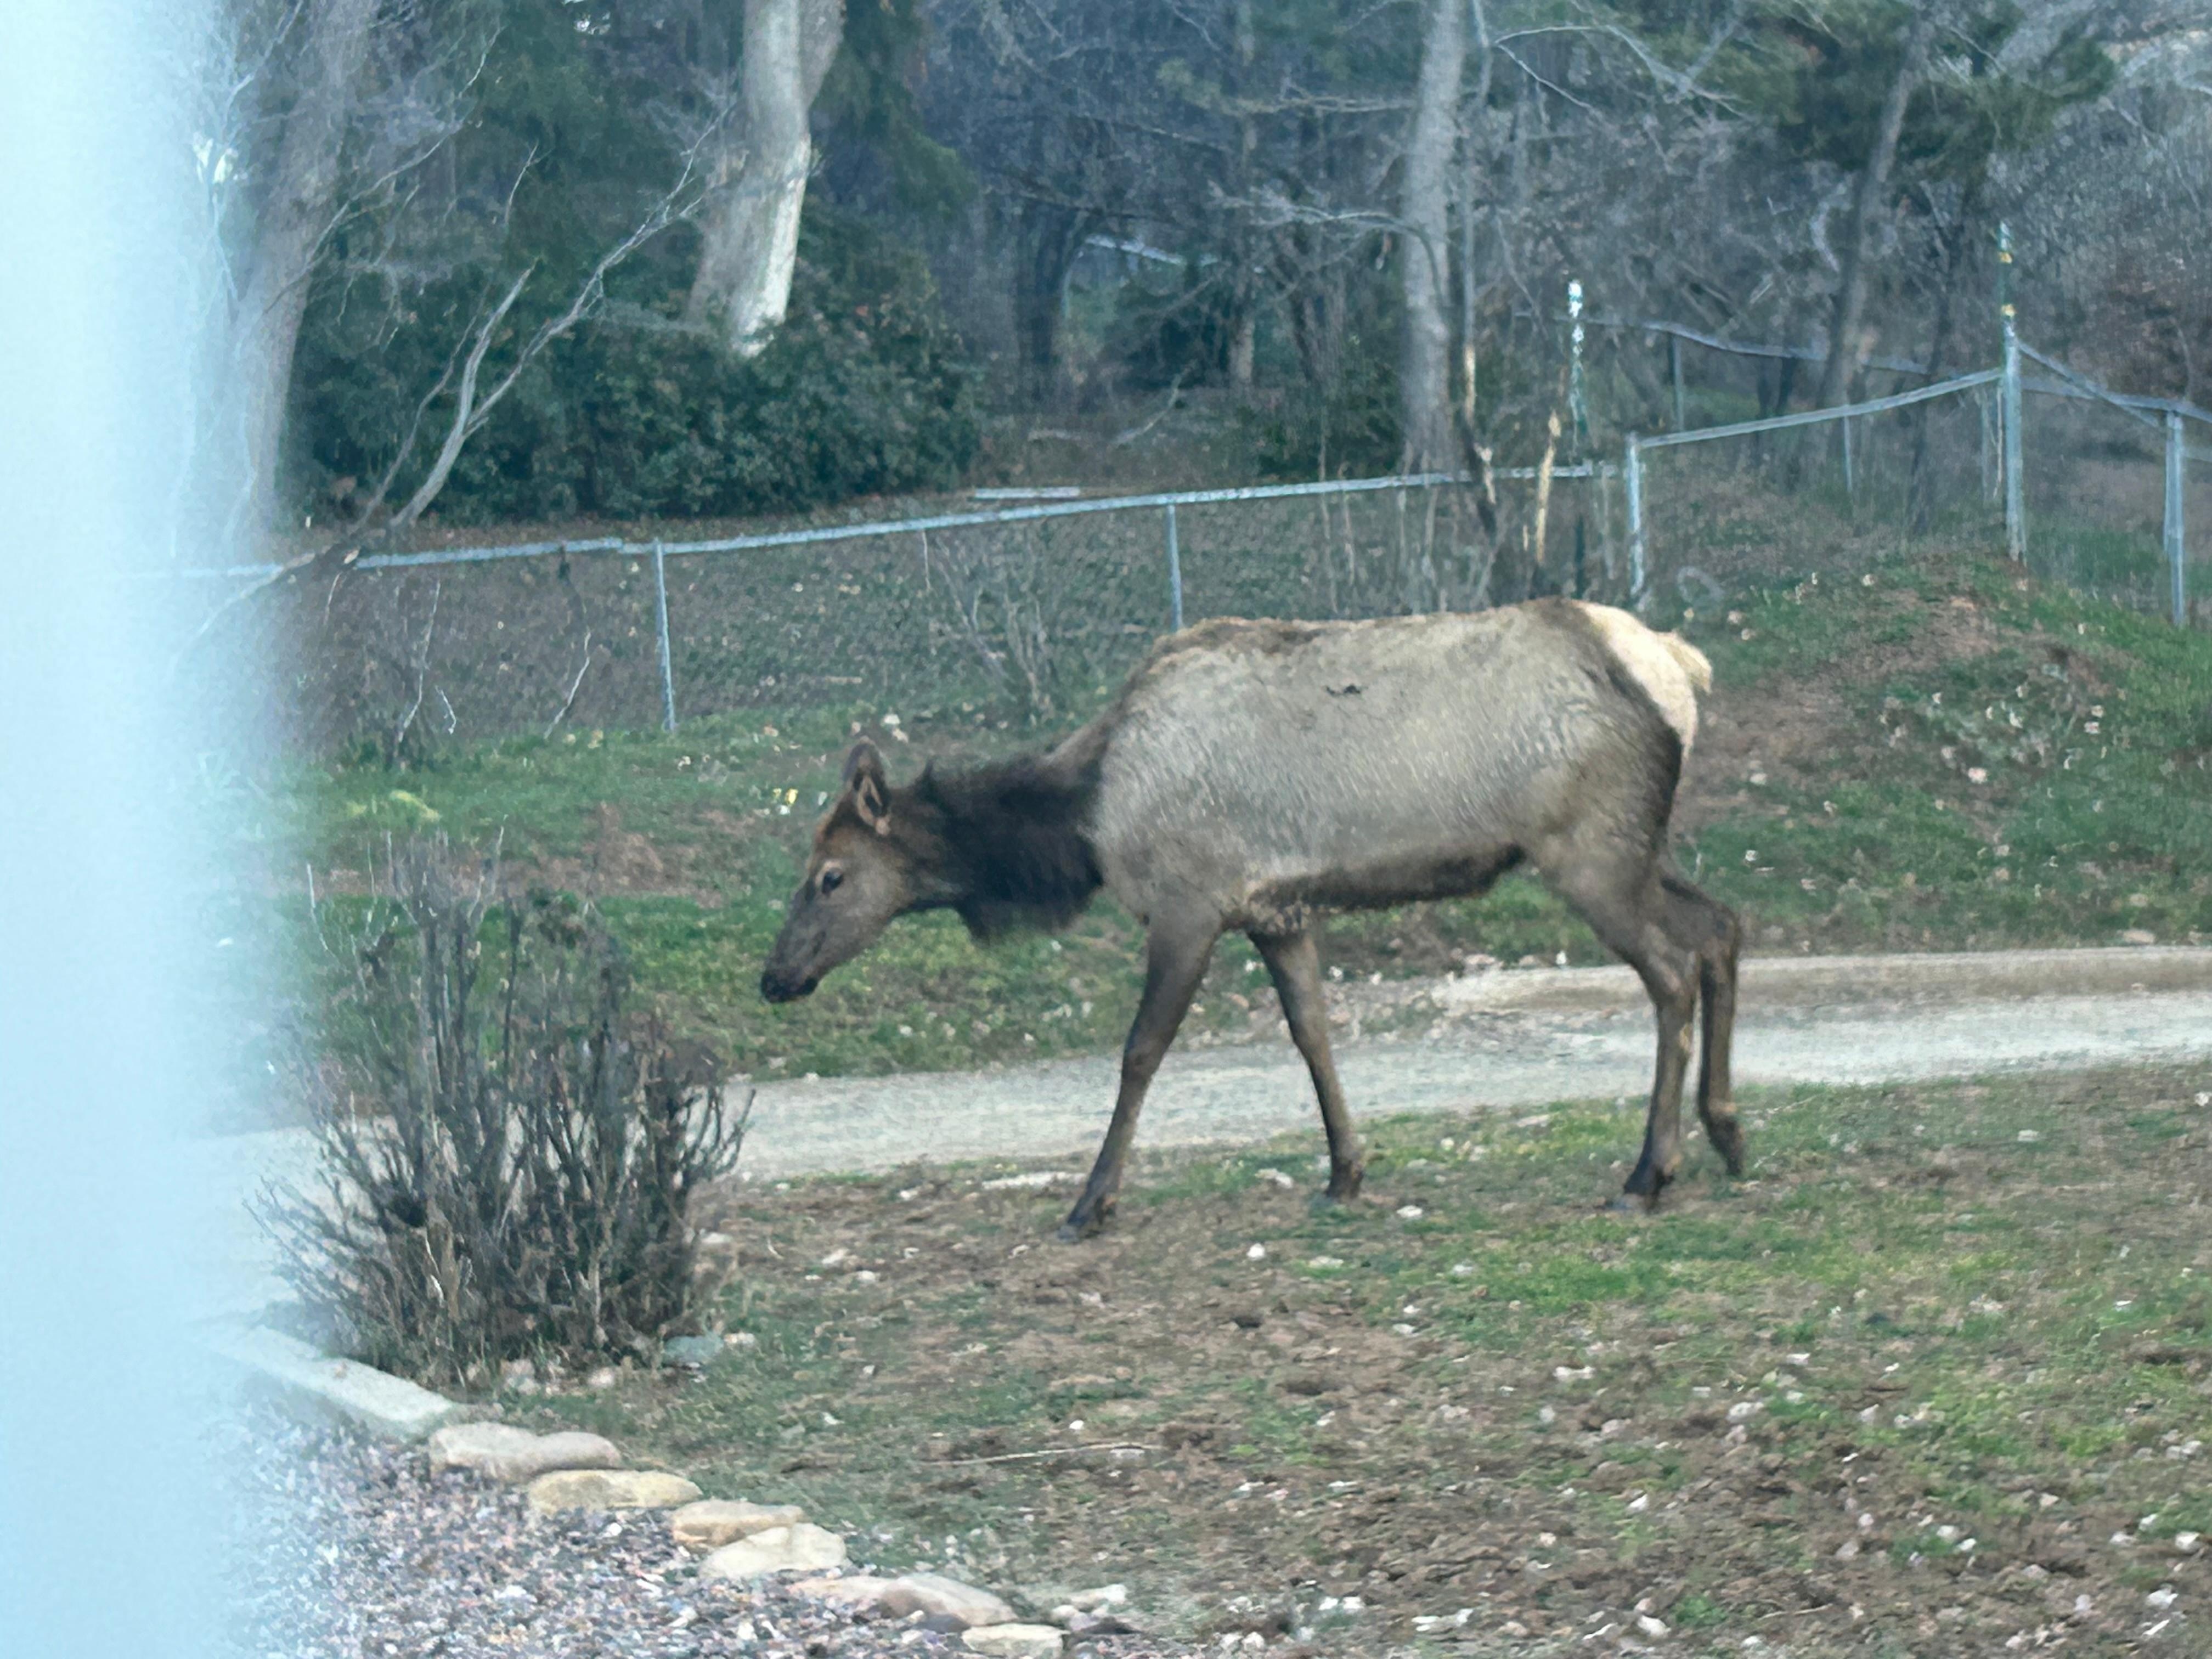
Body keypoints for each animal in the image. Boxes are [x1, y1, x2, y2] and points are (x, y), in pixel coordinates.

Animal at [760, 599, 1743, 1240]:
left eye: (831, 876)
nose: (774, 976)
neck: (1082, 824)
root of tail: (1681, 669)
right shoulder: (1277, 911)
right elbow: (1312, 1032)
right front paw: (1345, 1171)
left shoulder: (1189, 901)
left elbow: (1141, 1051)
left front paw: (1091, 1201)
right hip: (1634, 846)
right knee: (1722, 928)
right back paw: (1727, 1133)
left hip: (1588, 849)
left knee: (1670, 969)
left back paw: (1648, 1172)